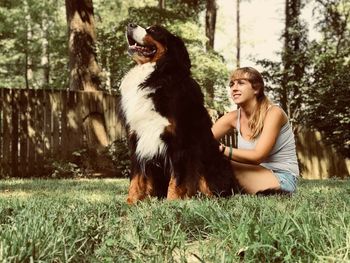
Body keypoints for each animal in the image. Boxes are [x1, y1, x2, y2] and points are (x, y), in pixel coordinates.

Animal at [119, 23, 242, 204]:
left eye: (154, 30)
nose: (130, 24)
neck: (158, 76)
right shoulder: (136, 140)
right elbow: (137, 177)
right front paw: (131, 202)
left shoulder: (180, 141)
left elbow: (177, 179)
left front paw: (172, 202)